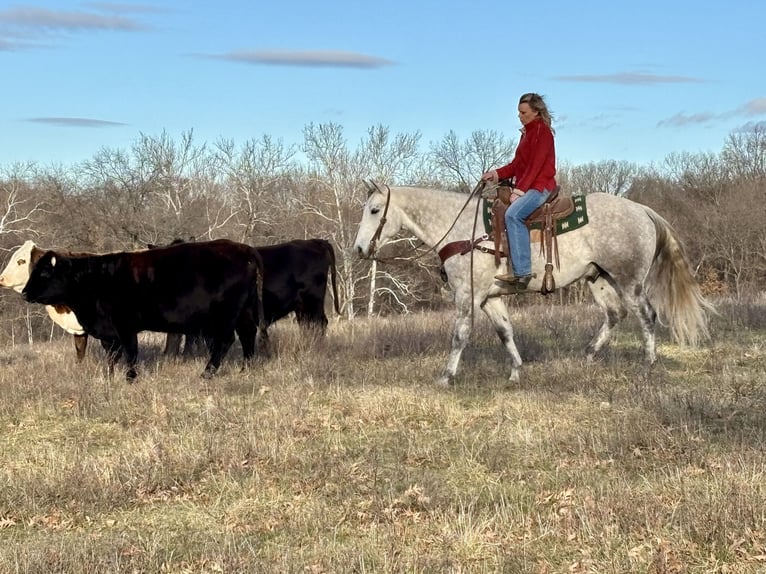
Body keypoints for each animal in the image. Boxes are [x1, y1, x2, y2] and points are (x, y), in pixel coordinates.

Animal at [22, 240, 268, 382]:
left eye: (44, 273)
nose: (24, 293)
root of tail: (242, 248)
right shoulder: (109, 333)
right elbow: (112, 355)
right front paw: (108, 377)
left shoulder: (125, 325)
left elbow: (130, 353)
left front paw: (130, 378)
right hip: (244, 311)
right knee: (248, 334)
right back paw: (246, 368)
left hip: (224, 315)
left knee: (226, 340)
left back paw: (207, 373)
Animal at [354, 184, 712, 388]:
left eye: (374, 210)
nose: (358, 249)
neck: (463, 230)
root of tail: (641, 210)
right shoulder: (490, 298)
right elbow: (505, 332)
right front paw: (516, 371)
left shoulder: (468, 295)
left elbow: (460, 335)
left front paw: (446, 376)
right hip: (598, 278)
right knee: (614, 314)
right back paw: (588, 356)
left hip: (628, 279)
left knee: (646, 316)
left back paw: (648, 365)